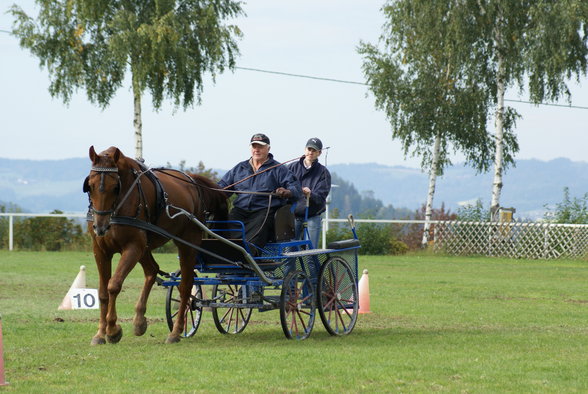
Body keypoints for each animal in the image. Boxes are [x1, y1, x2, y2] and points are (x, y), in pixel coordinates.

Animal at [82, 146, 227, 344]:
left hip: (186, 243)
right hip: (145, 246)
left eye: (115, 187)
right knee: (152, 270)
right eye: (90, 186)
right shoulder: (101, 250)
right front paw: (100, 334)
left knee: (185, 286)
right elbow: (103, 292)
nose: (100, 226)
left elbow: (114, 285)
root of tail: (192, 182)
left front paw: (112, 331)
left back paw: (176, 331)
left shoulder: (133, 247)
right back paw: (139, 321)